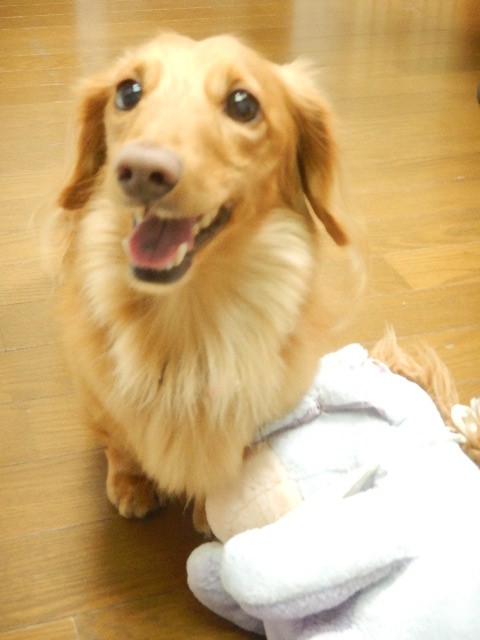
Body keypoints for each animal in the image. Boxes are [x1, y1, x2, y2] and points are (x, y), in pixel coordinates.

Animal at [46, 32, 369, 529]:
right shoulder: (99, 398)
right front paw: (131, 482)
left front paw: (207, 509)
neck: (188, 321)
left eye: (243, 104)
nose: (142, 170)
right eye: (128, 92)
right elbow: (120, 441)